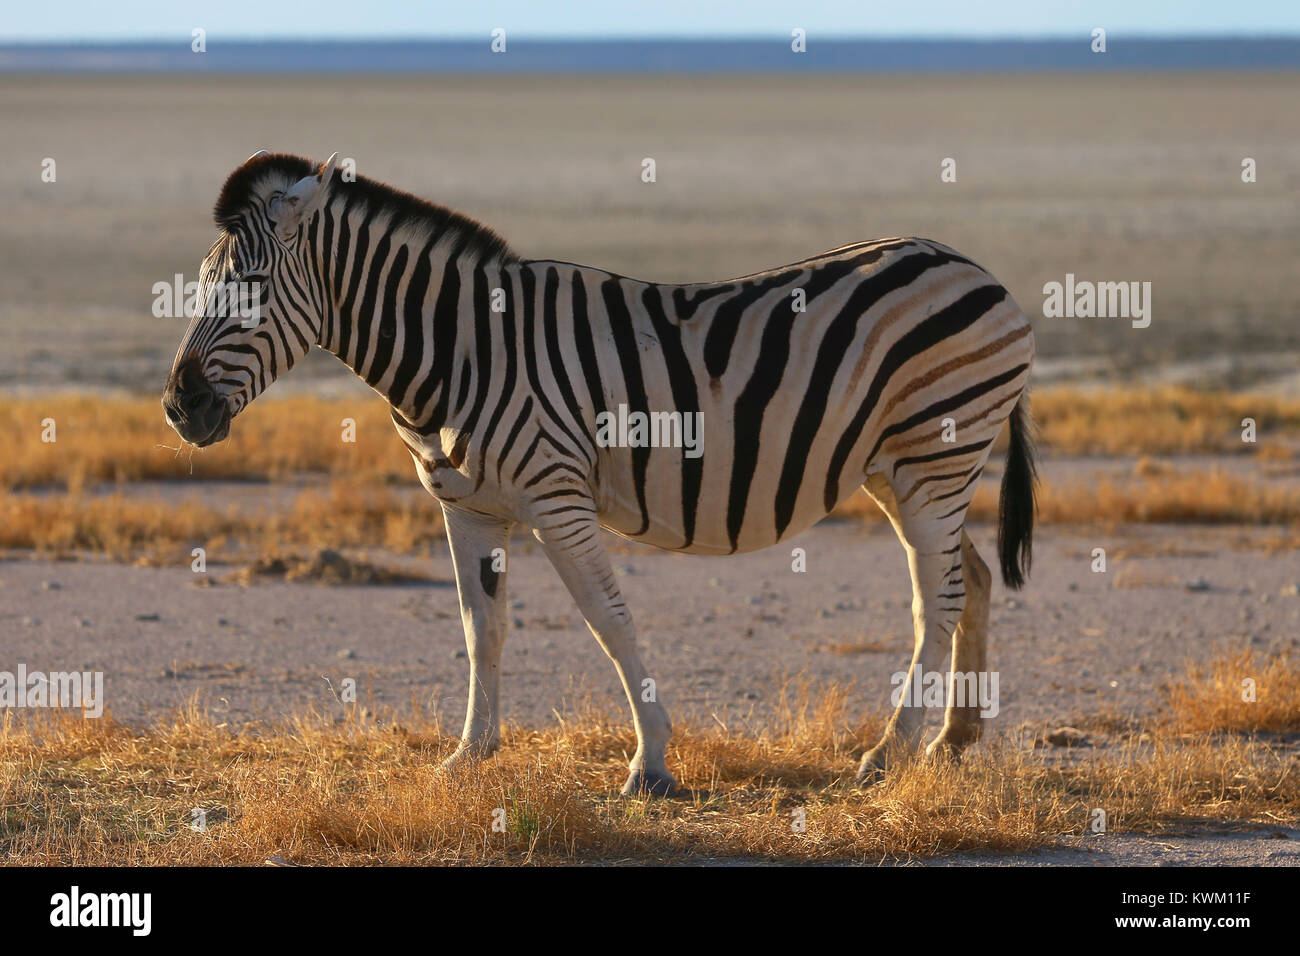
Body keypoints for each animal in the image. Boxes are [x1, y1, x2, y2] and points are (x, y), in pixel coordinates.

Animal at [165, 153, 1034, 796]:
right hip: (901, 469)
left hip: (936, 455)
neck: (462, 350)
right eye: (199, 289)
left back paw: (890, 754)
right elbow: (482, 629)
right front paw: (468, 756)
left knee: (938, 597)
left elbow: (609, 621)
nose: (179, 407)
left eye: (248, 289)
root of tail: (976, 268)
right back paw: (952, 742)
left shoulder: (557, 497)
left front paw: (650, 764)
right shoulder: (466, 508)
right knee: (973, 579)